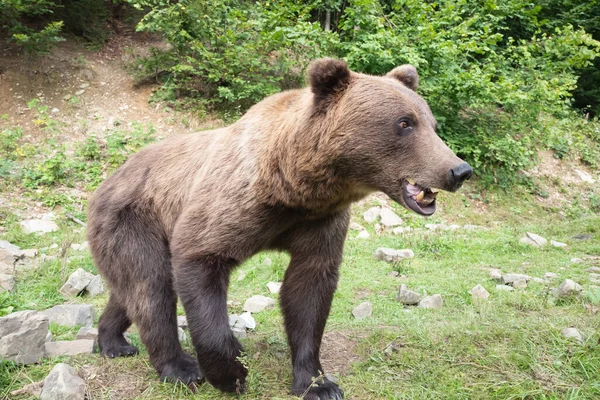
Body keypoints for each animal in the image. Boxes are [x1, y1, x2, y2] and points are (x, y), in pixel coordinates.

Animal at [88, 57, 474, 398]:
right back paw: (180, 367)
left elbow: (308, 290)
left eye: (432, 124)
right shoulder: (232, 205)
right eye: (404, 123)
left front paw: (317, 384)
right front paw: (231, 374)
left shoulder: (320, 221)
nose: (458, 170)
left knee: (129, 289)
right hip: (134, 217)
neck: (293, 185)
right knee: (150, 286)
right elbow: (200, 257)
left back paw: (112, 341)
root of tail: (108, 181)